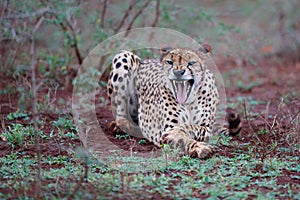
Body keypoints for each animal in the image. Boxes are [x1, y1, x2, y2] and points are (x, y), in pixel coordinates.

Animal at [106, 44, 240, 159]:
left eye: (191, 63)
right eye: (170, 62)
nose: (178, 72)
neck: (188, 101)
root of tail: (146, 60)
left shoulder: (206, 127)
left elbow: (190, 126)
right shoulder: (166, 130)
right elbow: (182, 137)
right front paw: (199, 147)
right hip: (124, 56)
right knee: (120, 110)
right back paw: (122, 125)